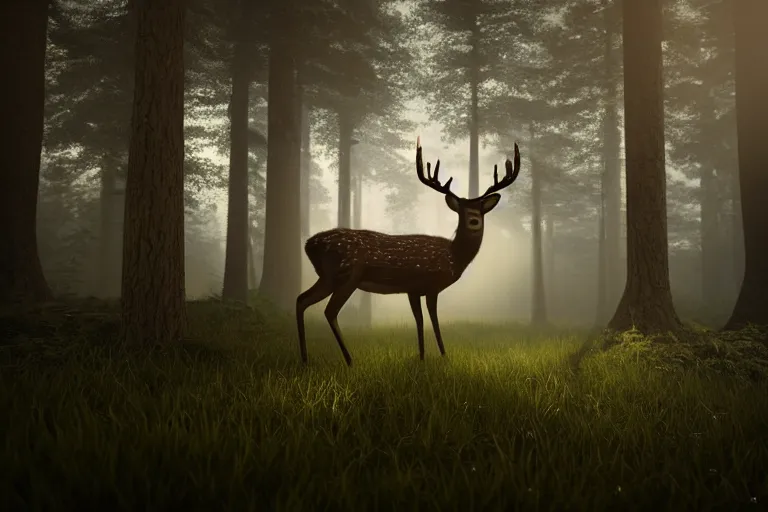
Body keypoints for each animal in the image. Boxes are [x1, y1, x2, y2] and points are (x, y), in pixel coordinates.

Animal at [296, 138, 520, 366]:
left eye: (481, 210)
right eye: (462, 210)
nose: (474, 220)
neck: (453, 257)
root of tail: (308, 245)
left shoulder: (414, 289)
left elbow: (421, 321)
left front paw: (423, 357)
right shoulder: (426, 285)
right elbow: (431, 320)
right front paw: (441, 355)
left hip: (328, 277)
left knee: (301, 300)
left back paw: (305, 358)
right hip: (347, 275)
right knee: (329, 311)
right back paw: (349, 360)